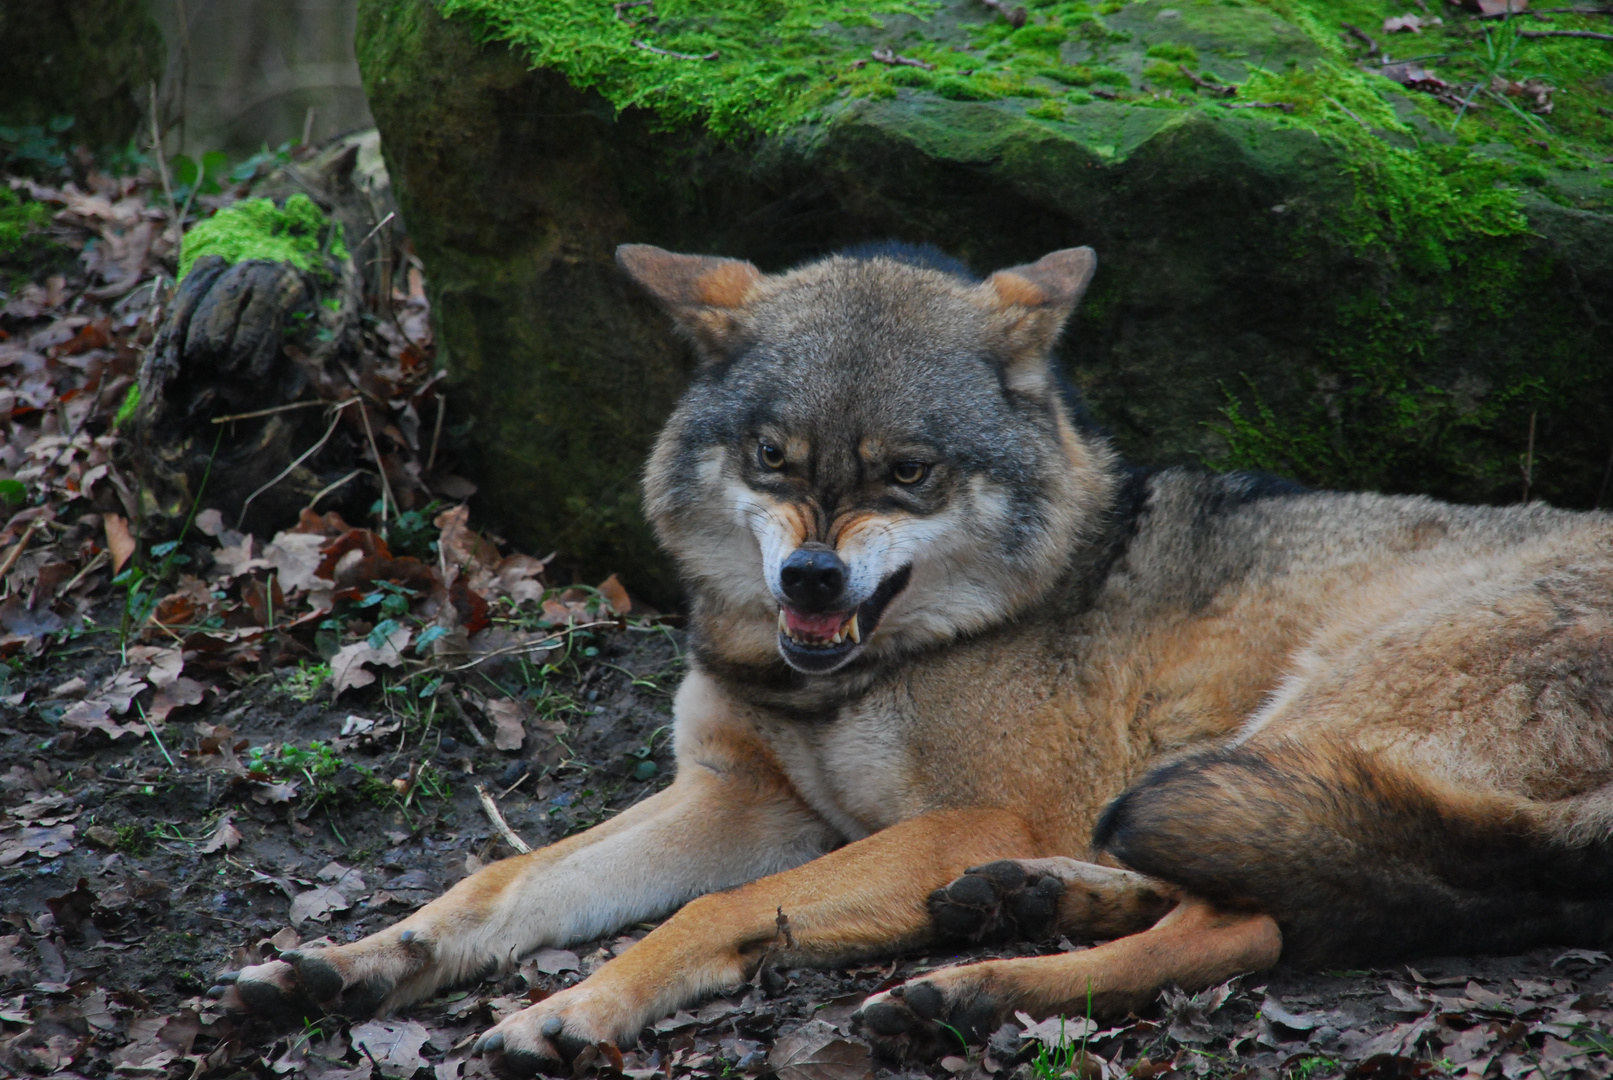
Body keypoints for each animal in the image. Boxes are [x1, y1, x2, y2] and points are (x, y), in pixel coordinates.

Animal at [211, 243, 1613, 1076]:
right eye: (772, 458)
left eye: (907, 473)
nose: (810, 581)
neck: (853, 677)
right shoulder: (740, 798)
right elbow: (499, 883)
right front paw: (351, 965)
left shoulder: (971, 808)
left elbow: (706, 916)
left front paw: (570, 1010)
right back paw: (1016, 908)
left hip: (1293, 721)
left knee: (1251, 922)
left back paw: (971, 989)